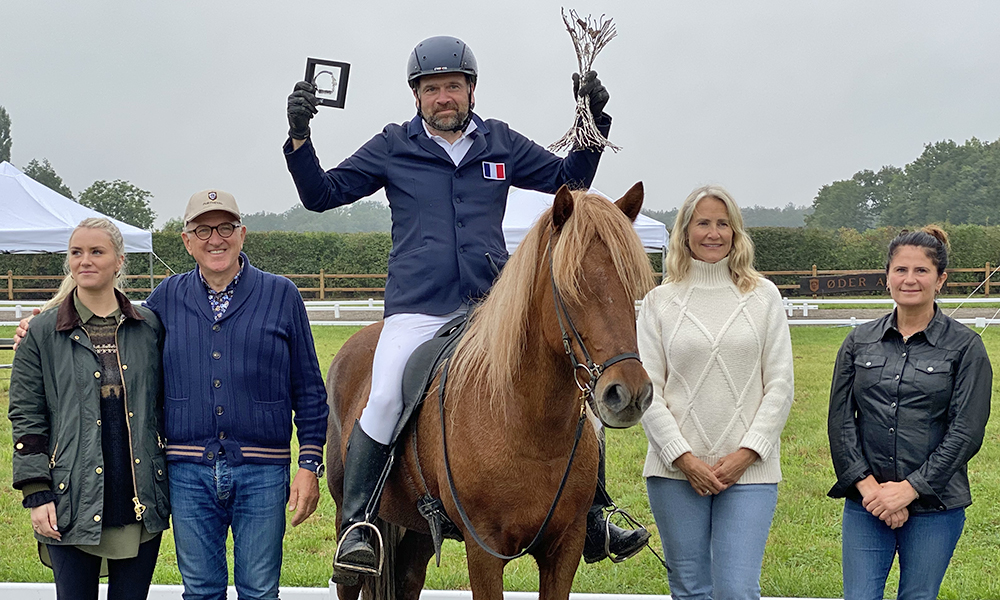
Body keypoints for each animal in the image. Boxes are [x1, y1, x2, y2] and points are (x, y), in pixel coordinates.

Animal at [326, 184, 656, 600]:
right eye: (572, 284)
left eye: (632, 285)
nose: (629, 394)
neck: (529, 426)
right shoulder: (484, 550)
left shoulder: (565, 547)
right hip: (349, 525)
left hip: (418, 532)